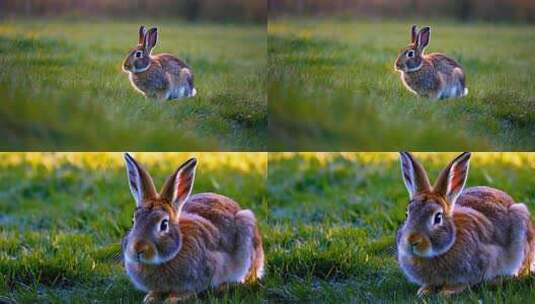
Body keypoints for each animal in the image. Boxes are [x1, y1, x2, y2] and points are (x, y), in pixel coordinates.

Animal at [120, 153, 264, 302]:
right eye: (133, 221)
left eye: (164, 224)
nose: (138, 249)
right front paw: (150, 298)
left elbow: (187, 292)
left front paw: (172, 299)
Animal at [396, 153, 535, 296]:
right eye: (407, 214)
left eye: (438, 217)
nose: (412, 241)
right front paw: (424, 291)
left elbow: (463, 283)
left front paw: (446, 292)